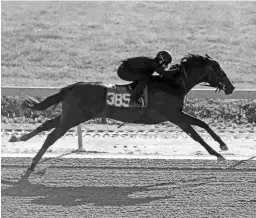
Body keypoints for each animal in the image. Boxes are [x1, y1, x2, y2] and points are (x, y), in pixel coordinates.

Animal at [11, 53, 235, 179]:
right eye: (219, 69)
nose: (231, 88)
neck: (172, 84)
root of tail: (73, 86)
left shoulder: (177, 115)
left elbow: (203, 124)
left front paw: (223, 145)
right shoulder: (174, 116)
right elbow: (196, 134)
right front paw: (218, 154)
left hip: (71, 116)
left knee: (46, 125)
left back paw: (18, 139)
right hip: (73, 118)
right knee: (51, 136)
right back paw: (31, 164)